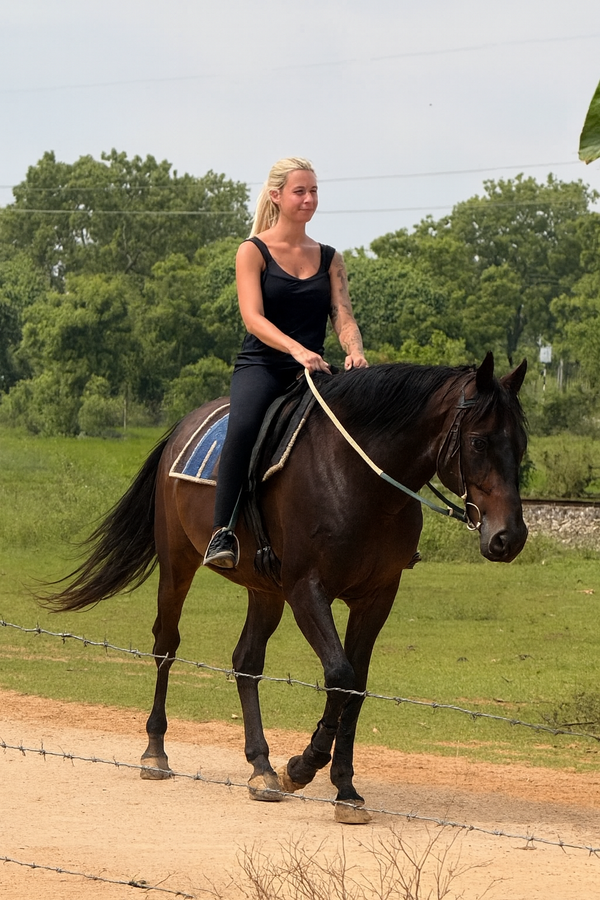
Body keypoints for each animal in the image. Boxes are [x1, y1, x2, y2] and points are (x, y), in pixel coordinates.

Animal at [46, 352, 528, 823]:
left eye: (521, 444)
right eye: (480, 442)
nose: (510, 537)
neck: (358, 479)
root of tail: (182, 429)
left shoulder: (376, 597)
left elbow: (356, 687)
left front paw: (345, 789)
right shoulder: (306, 590)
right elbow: (339, 676)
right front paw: (302, 766)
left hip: (264, 590)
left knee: (246, 662)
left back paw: (261, 768)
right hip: (178, 563)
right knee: (166, 645)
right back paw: (155, 753)